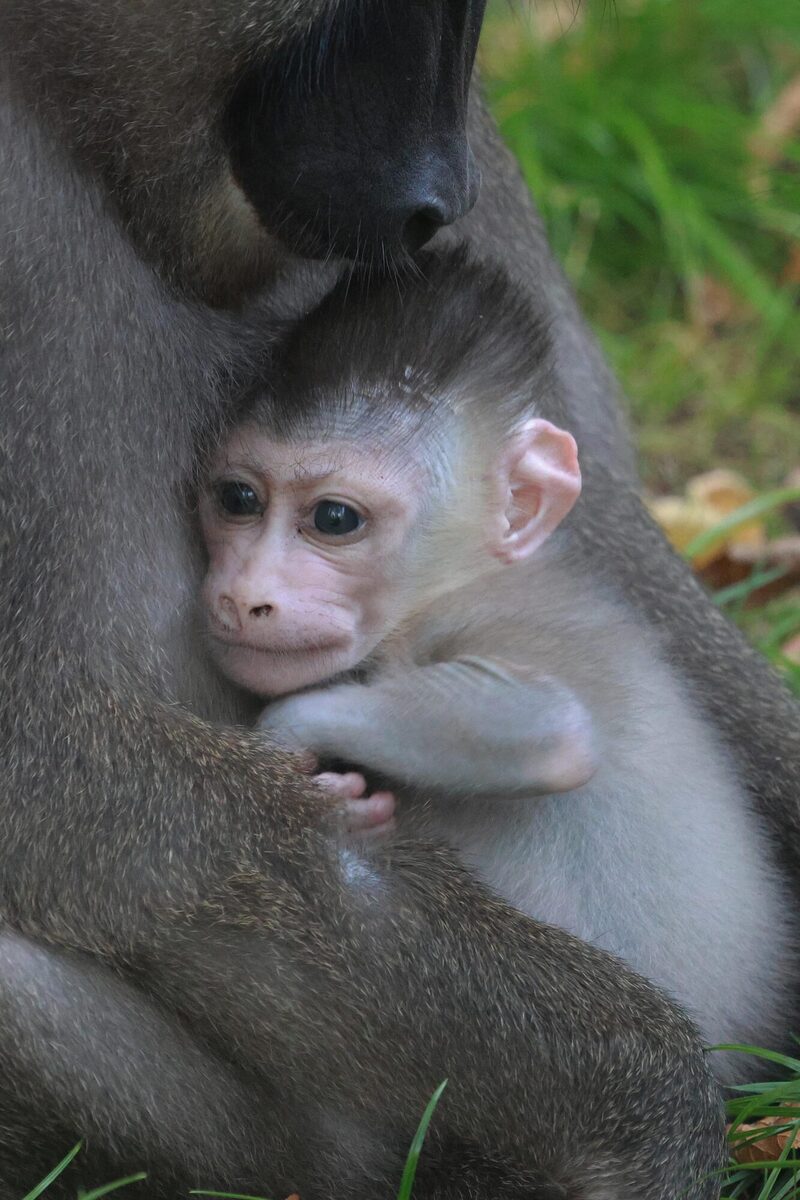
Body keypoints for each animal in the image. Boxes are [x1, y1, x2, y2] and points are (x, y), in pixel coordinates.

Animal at [201, 250, 796, 1060]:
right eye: (238, 499)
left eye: (335, 518)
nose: (245, 595)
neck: (460, 577)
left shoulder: (482, 618)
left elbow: (548, 725)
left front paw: (298, 751)